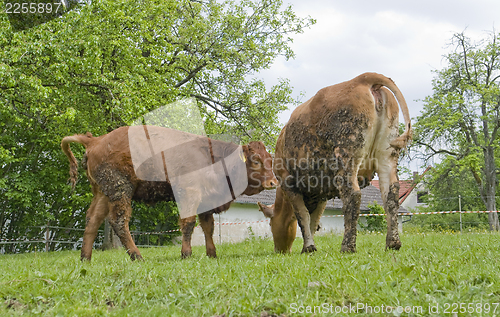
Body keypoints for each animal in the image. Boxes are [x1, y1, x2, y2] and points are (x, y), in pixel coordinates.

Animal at [62, 124, 278, 260]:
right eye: (256, 160)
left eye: (271, 159)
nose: (273, 181)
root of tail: (96, 140)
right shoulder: (189, 193)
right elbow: (188, 224)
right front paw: (186, 254)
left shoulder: (207, 201)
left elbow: (208, 227)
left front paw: (212, 254)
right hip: (120, 191)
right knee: (119, 222)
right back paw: (137, 256)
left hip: (102, 193)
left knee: (92, 220)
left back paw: (85, 258)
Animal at [258, 73, 410, 253]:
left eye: (270, 224)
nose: (279, 250)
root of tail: (363, 78)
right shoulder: (322, 191)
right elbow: (314, 220)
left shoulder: (289, 183)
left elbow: (303, 217)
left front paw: (308, 247)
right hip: (387, 155)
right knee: (390, 195)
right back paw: (392, 243)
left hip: (346, 154)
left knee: (353, 195)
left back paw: (348, 246)